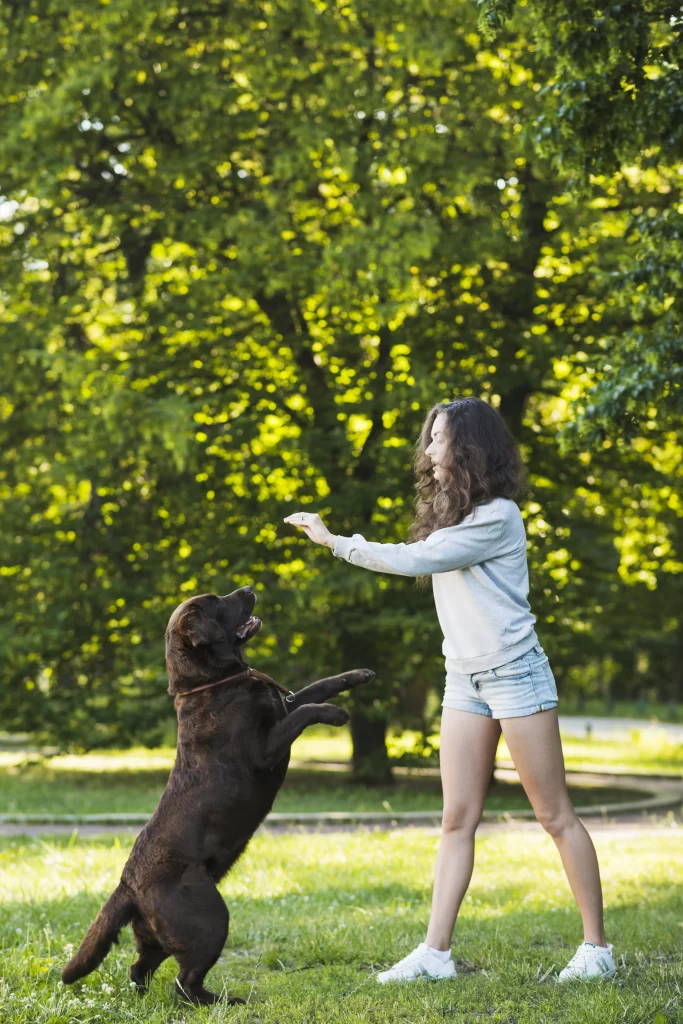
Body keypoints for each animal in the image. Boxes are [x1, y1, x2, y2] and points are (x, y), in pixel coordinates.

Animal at [60, 589, 374, 1003]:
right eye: (217, 600)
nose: (249, 588)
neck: (211, 682)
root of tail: (128, 884)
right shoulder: (266, 747)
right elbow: (305, 709)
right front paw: (335, 713)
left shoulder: (281, 702)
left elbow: (314, 687)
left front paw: (358, 675)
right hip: (210, 918)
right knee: (184, 982)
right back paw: (223, 1001)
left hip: (158, 936)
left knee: (139, 967)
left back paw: (146, 996)